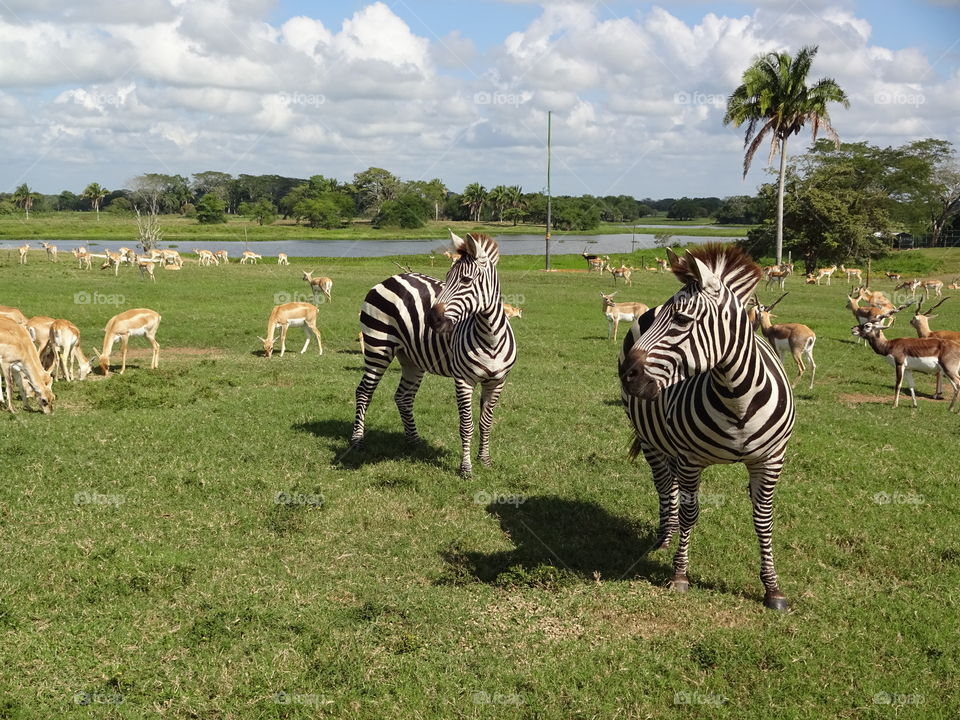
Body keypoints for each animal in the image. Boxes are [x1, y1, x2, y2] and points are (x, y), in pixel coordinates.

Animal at [350, 232, 516, 478]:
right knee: (363, 392)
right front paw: (466, 468)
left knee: (403, 397)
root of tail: (392, 278)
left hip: (411, 359)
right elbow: (466, 425)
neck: (491, 337)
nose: (431, 319)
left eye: (466, 281)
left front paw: (485, 460)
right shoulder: (463, 381)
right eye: (446, 277)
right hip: (377, 348)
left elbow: (486, 422)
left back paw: (415, 441)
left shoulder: (497, 382)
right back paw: (357, 441)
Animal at [620, 245, 800, 612]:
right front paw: (680, 574)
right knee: (665, 487)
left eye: (682, 321)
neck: (738, 398)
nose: (626, 375)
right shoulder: (691, 459)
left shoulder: (771, 461)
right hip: (650, 440)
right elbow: (691, 512)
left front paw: (772, 588)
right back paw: (665, 537)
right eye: (660, 322)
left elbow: (764, 520)